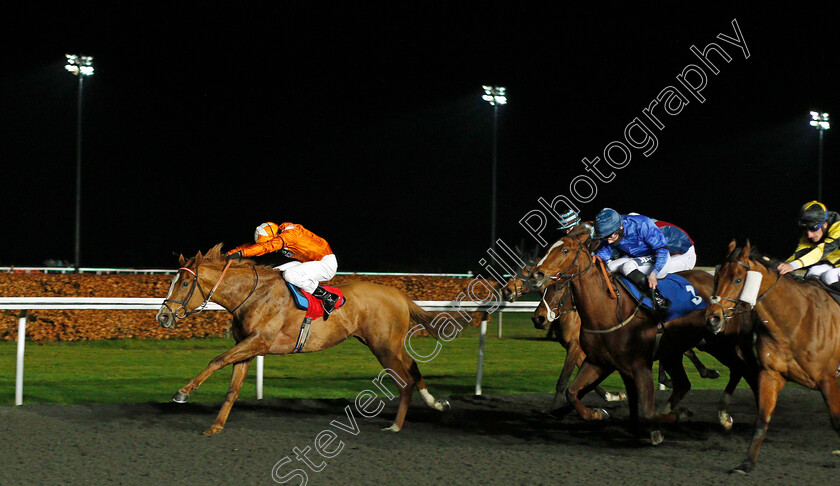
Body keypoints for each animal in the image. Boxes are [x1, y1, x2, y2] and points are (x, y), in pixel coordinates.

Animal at [157, 245, 460, 434]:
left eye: (185, 283)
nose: (163, 316)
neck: (252, 294)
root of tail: (398, 294)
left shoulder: (259, 341)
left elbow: (216, 359)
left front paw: (182, 392)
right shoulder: (247, 347)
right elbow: (233, 389)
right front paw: (216, 426)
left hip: (384, 346)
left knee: (405, 380)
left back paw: (396, 425)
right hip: (388, 345)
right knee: (414, 368)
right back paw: (435, 403)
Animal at [528, 232, 756, 444]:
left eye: (565, 250)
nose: (537, 273)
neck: (608, 310)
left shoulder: (639, 365)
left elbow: (646, 411)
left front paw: (677, 416)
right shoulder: (599, 362)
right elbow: (573, 392)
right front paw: (597, 413)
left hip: (719, 344)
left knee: (742, 368)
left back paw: (727, 415)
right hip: (675, 352)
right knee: (685, 384)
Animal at [704, 241, 840, 472]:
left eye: (738, 279)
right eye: (717, 277)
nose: (713, 319)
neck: (796, 321)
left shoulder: (829, 379)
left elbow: (836, 421)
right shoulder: (772, 374)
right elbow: (762, 419)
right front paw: (746, 463)